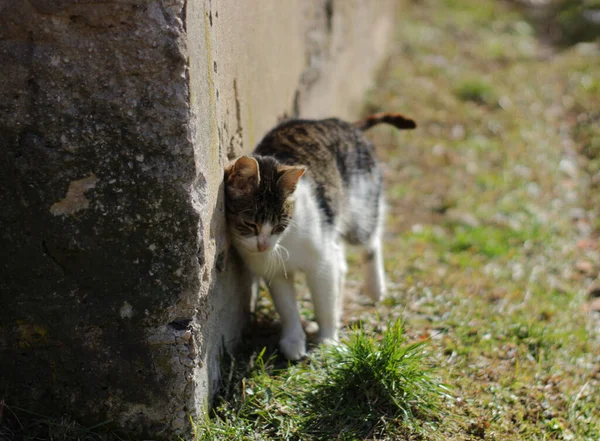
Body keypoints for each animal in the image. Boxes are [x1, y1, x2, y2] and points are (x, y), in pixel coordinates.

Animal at [223, 111, 414, 360]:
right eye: (250, 224)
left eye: (279, 225)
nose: (263, 245)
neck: (286, 242)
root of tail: (344, 123)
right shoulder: (275, 271)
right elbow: (287, 307)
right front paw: (293, 341)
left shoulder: (322, 262)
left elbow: (325, 303)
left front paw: (329, 341)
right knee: (343, 261)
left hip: (360, 208)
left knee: (371, 239)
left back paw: (376, 288)